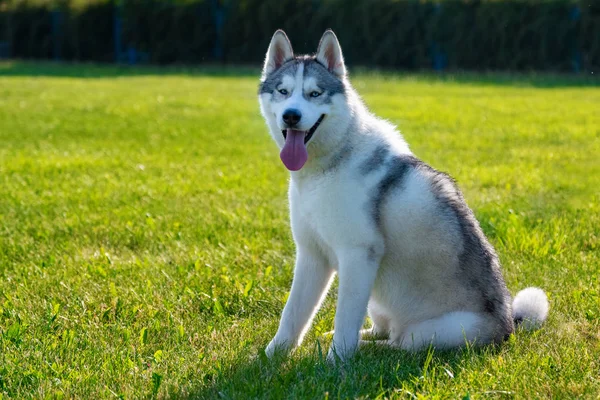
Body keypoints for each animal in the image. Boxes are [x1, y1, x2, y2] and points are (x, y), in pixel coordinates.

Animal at [258, 29, 548, 360]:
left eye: (315, 94)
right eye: (282, 91)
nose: (291, 116)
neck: (327, 166)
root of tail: (508, 328)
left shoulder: (358, 254)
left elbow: (344, 320)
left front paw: (335, 362)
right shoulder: (311, 254)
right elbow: (293, 313)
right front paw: (270, 357)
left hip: (424, 333)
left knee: (397, 343)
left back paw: (368, 351)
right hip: (377, 299)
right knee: (383, 329)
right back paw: (362, 340)